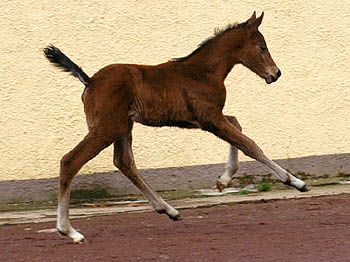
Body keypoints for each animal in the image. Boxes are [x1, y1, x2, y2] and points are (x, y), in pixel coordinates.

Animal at [43, 11, 308, 242]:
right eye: (262, 47)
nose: (276, 73)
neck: (204, 71)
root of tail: (89, 81)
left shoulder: (204, 119)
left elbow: (237, 126)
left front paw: (223, 180)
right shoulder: (210, 118)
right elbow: (249, 144)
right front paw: (294, 182)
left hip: (123, 126)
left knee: (124, 162)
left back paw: (168, 210)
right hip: (107, 129)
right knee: (70, 161)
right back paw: (69, 231)